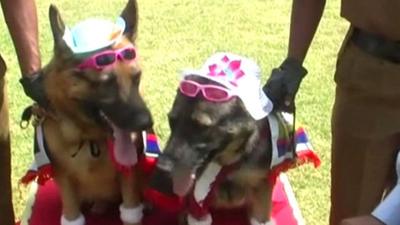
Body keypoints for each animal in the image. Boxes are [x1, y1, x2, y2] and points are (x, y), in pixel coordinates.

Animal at [150, 54, 276, 223]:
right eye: (171, 121)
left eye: (202, 127)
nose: (162, 168)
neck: (228, 166)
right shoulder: (196, 204)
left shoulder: (261, 191)